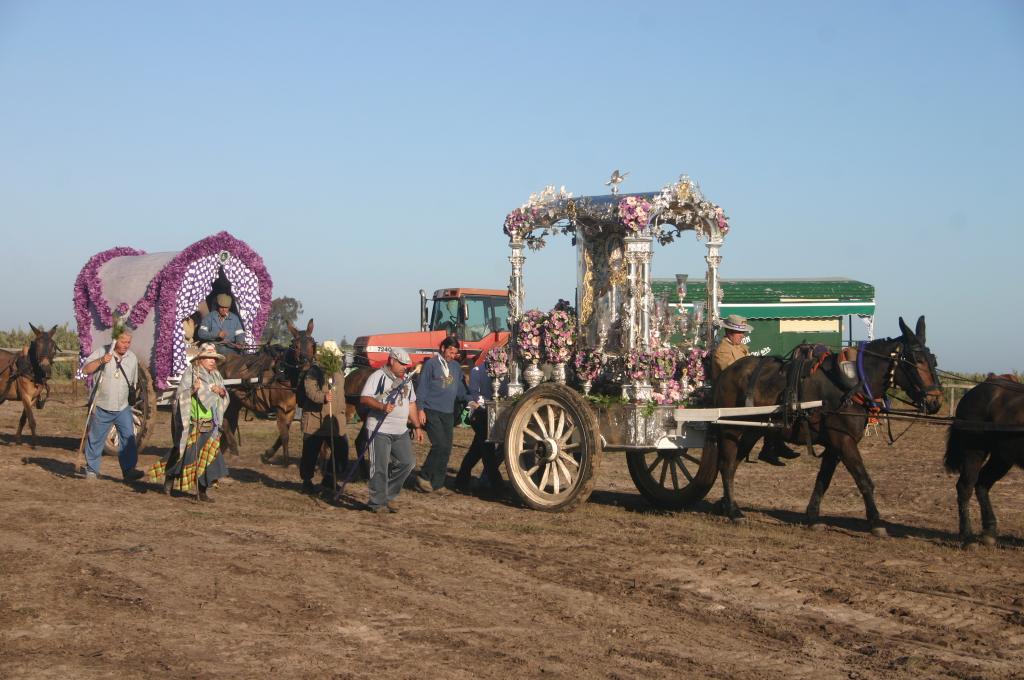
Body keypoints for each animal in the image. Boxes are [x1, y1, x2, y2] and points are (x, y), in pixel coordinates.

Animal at [222, 319, 317, 466]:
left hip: (235, 402)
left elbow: (283, 434)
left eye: (312, 344)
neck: (283, 374)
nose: (306, 365)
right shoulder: (279, 409)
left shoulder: (290, 410)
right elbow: (285, 435)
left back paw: (231, 449)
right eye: (295, 345)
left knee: (228, 422)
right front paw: (286, 461)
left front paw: (268, 454)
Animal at [712, 315, 942, 536]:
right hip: (731, 428)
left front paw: (813, 517)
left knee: (734, 464)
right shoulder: (844, 440)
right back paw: (733, 511)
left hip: (753, 430)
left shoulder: (834, 445)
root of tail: (726, 373)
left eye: (933, 359)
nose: (935, 402)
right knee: (726, 464)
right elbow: (863, 479)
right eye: (916, 361)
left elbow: (823, 480)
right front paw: (876, 522)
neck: (851, 385)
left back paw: (726, 504)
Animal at [942, 372, 1024, 548]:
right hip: (974, 451)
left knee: (982, 483)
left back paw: (989, 532)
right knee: (965, 486)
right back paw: (967, 537)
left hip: (1002, 457)